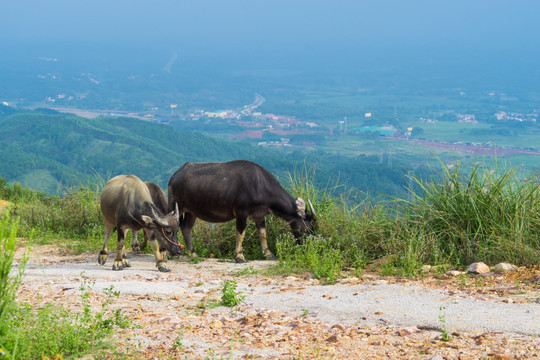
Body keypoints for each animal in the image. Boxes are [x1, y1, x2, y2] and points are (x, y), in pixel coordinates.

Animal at [167, 160, 314, 262]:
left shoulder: (259, 215)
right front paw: (239, 256)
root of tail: (175, 176)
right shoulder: (241, 212)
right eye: (308, 226)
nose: (307, 245)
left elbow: (263, 234)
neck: (259, 186)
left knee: (186, 228)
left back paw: (193, 253)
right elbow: (241, 233)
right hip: (175, 206)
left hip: (192, 211)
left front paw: (269, 254)